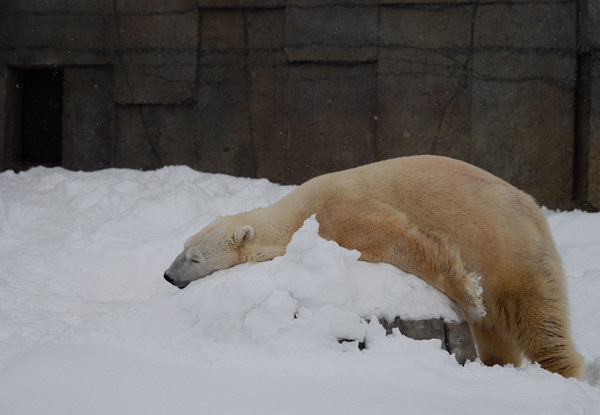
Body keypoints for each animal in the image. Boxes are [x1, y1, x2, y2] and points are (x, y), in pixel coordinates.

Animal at [163, 156, 580, 380]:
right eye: (182, 249)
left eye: (194, 257)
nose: (167, 276)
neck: (292, 217)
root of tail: (533, 209)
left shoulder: (340, 212)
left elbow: (399, 241)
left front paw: (468, 294)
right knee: (497, 332)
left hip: (509, 249)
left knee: (539, 321)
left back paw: (561, 370)